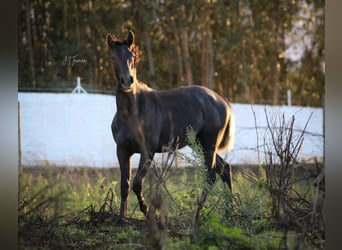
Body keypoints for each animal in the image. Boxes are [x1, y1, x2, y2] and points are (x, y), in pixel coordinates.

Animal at [107, 29, 235, 217]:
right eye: (113, 57)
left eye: (132, 56)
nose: (127, 81)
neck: (132, 113)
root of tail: (223, 102)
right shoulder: (123, 151)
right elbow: (125, 185)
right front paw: (122, 217)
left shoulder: (147, 151)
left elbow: (137, 183)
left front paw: (147, 211)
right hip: (198, 144)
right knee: (225, 169)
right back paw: (229, 210)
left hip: (208, 145)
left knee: (211, 175)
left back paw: (197, 212)